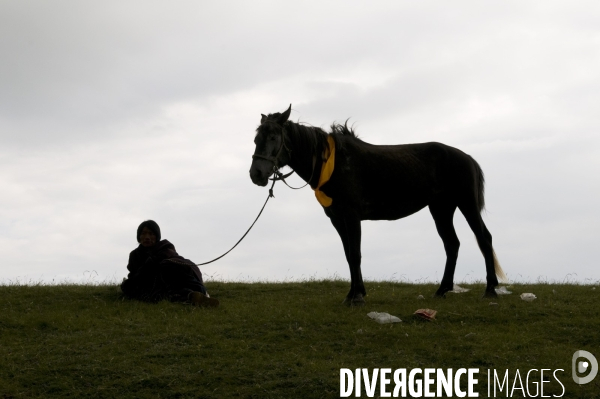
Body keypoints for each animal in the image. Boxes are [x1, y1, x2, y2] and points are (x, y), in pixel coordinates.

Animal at [248, 104, 506, 304]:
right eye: (256, 138)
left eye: (273, 137)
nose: (256, 174)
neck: (332, 163)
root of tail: (467, 158)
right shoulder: (337, 219)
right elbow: (348, 254)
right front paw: (354, 293)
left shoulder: (352, 217)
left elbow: (355, 254)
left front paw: (357, 297)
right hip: (441, 209)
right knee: (452, 244)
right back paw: (442, 290)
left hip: (466, 204)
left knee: (484, 238)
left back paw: (490, 289)